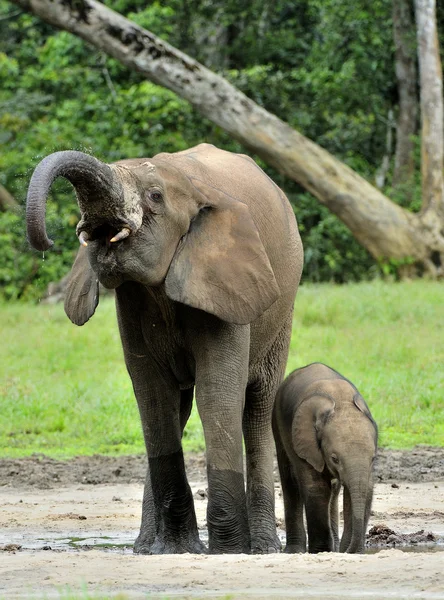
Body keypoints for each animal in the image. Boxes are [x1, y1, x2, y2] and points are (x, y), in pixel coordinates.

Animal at [25, 143, 302, 556]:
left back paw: (264, 548)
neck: (193, 185)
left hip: (281, 313)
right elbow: (153, 395)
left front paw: (226, 551)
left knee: (257, 407)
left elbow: (217, 392)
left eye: (155, 196)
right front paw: (176, 549)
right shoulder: (133, 302)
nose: (47, 241)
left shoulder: (226, 279)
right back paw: (145, 547)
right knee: (177, 409)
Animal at [274, 360, 378, 552]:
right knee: (289, 479)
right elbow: (317, 488)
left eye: (373, 458)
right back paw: (296, 550)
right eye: (334, 459)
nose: (348, 550)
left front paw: (348, 551)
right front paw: (321, 551)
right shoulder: (305, 442)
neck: (341, 400)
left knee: (335, 489)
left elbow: (365, 488)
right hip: (277, 420)